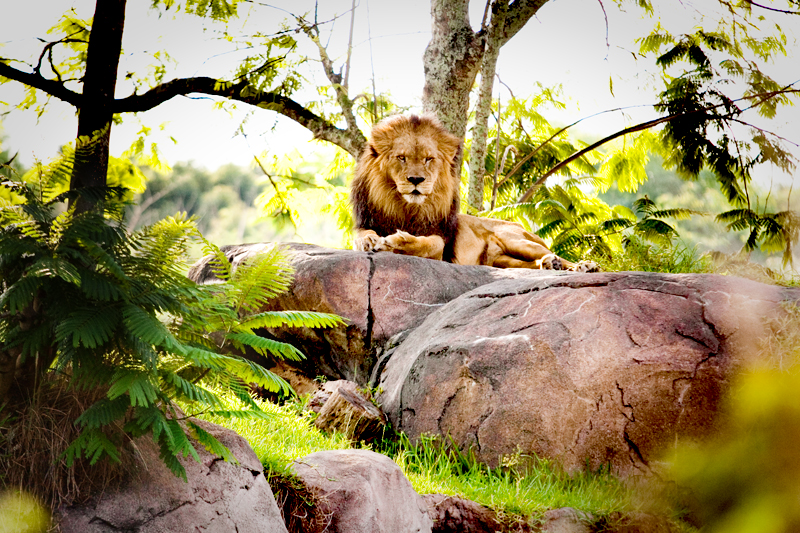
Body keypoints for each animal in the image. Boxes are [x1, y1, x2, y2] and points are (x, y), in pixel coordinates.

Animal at [354, 111, 596, 270]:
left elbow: (429, 243)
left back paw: (583, 266)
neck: (406, 208)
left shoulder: (441, 245)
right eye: (401, 158)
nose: (416, 180)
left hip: (517, 240)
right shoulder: (366, 222)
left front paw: (396, 241)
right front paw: (369, 240)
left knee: (557, 256)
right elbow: (361, 236)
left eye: (428, 159)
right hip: (501, 260)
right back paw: (549, 265)